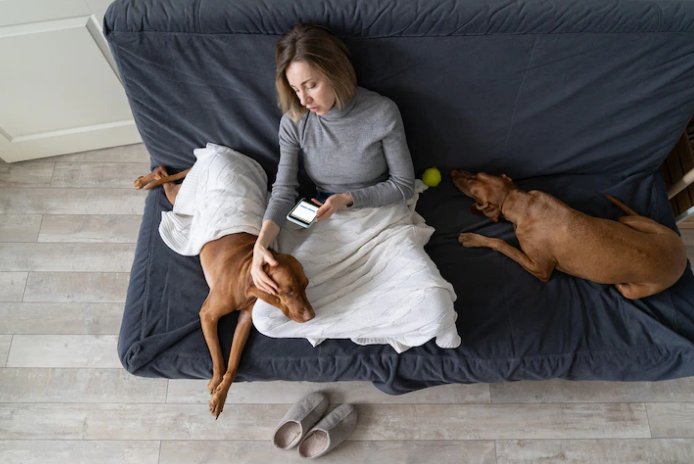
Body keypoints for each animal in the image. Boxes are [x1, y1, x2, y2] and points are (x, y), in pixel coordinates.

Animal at [135, 166, 314, 416]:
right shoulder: (208, 315)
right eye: (288, 291)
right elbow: (219, 355)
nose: (312, 316)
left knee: (164, 174)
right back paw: (144, 180)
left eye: (306, 285)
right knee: (163, 175)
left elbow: (233, 363)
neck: (246, 276)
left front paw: (222, 393)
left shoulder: (245, 321)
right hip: (179, 198)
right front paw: (215, 383)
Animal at [452, 169, 692, 300]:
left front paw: (473, 239)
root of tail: (682, 254)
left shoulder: (540, 269)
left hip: (633, 291)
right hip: (628, 221)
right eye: (476, 174)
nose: (452, 172)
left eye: (472, 184)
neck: (523, 203)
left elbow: (502, 244)